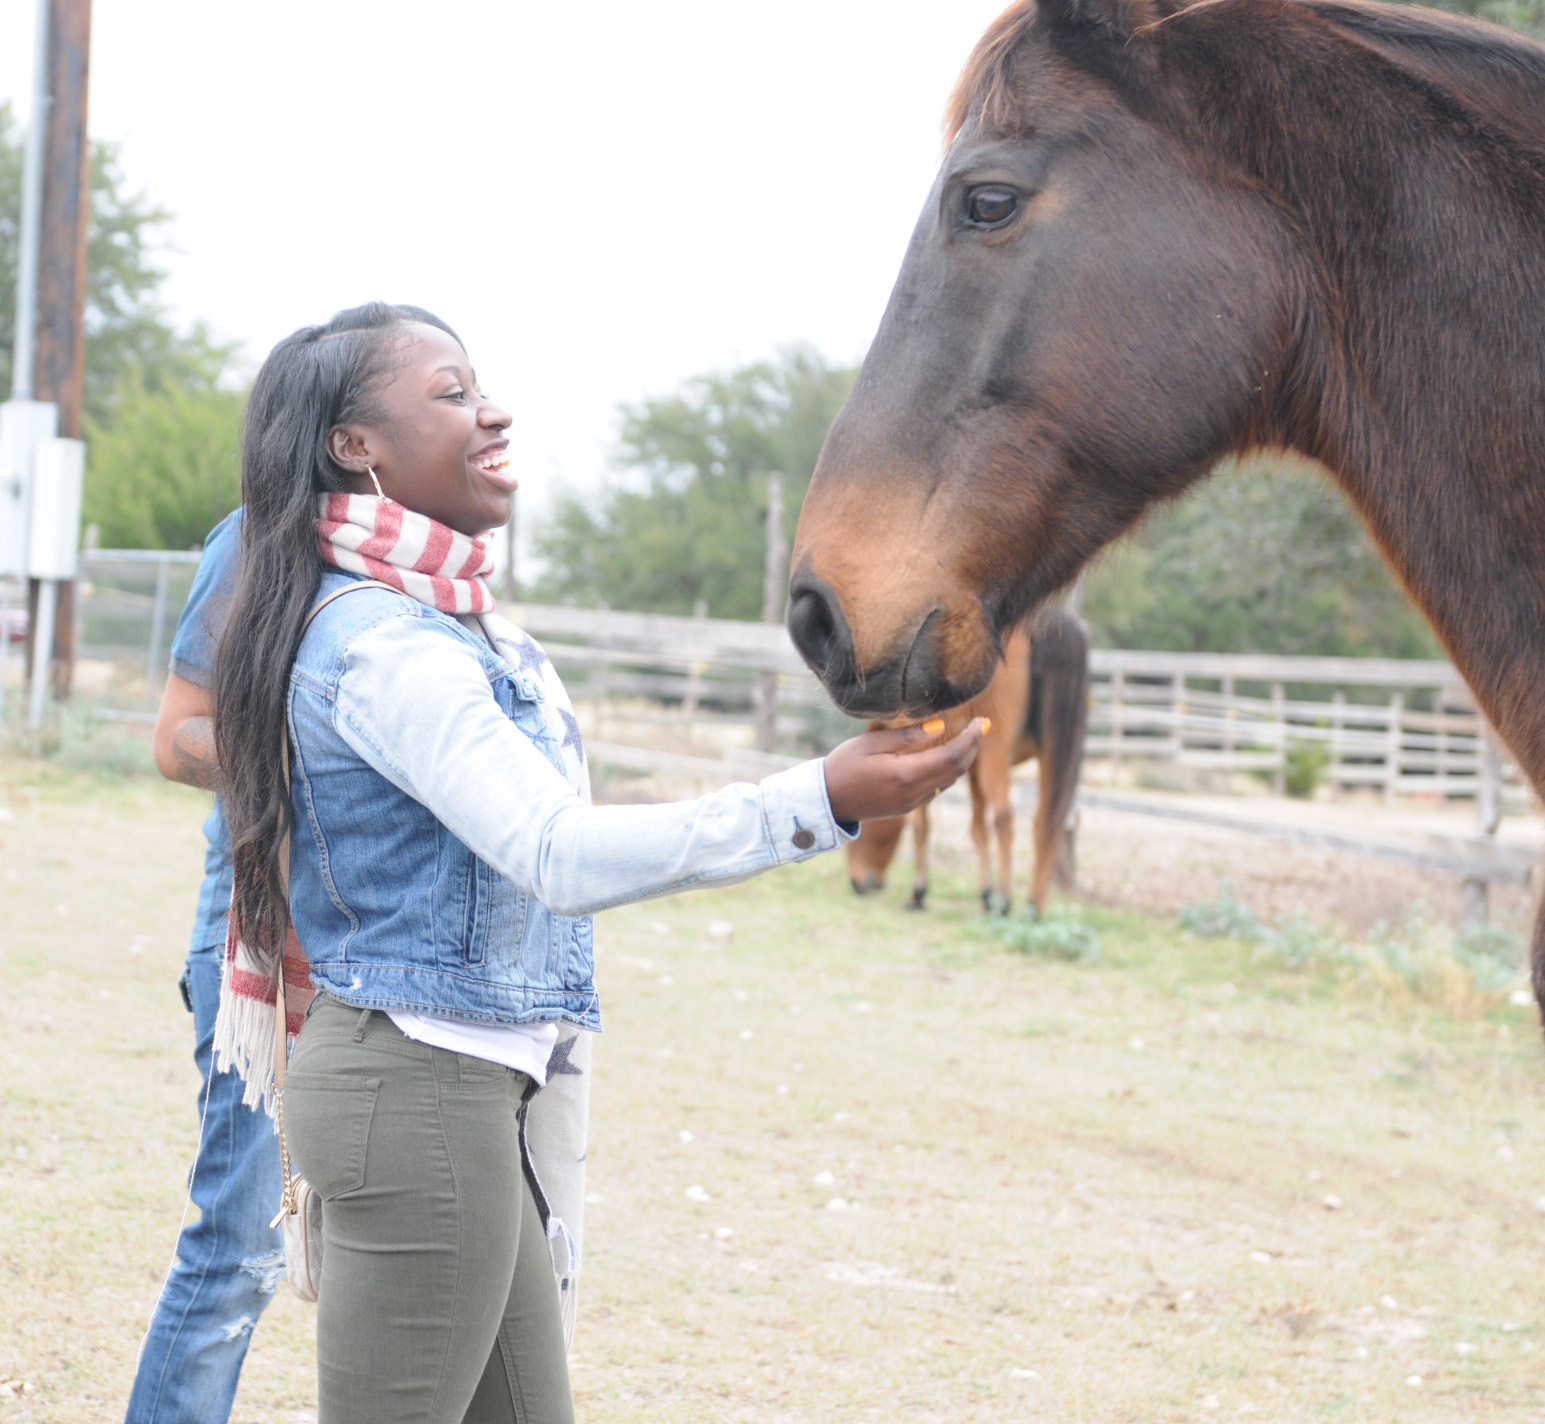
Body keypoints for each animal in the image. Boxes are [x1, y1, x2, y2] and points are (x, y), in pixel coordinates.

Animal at [846, 599, 1087, 908]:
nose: (857, 883)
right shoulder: (971, 767)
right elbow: (977, 829)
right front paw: (984, 894)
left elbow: (921, 825)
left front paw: (919, 892)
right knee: (1048, 820)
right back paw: (1032, 906)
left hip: (998, 751)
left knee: (1005, 817)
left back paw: (1005, 901)